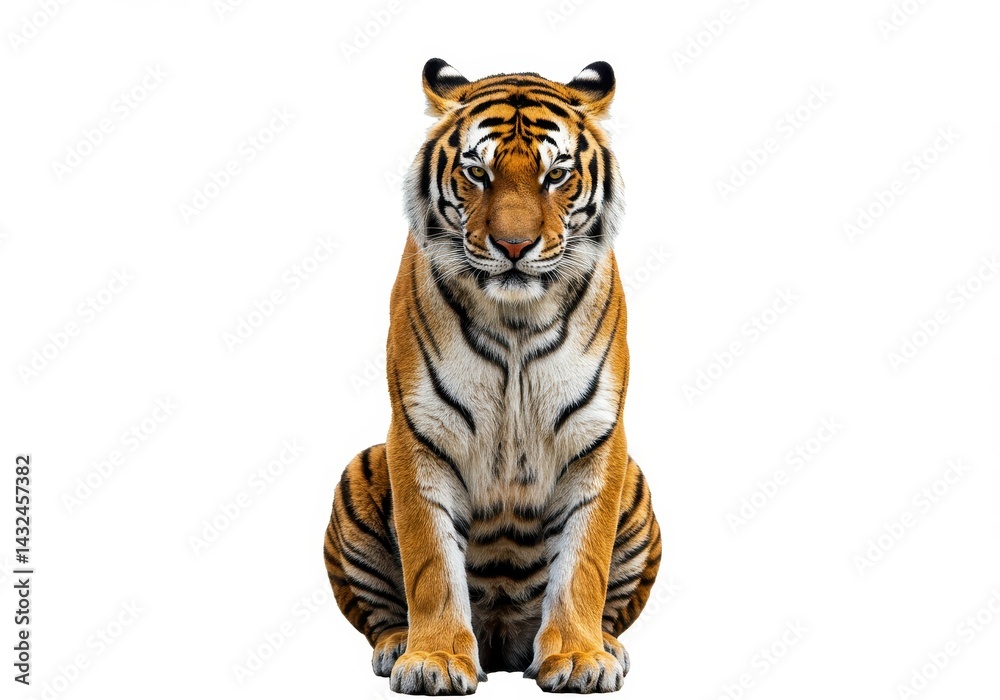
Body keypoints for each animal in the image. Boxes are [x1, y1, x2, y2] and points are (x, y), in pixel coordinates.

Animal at [323, 59, 661, 695]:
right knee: (381, 611)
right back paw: (397, 643)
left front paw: (578, 657)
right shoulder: (420, 432)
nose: (513, 245)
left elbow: (584, 561)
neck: (515, 321)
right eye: (477, 172)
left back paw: (606, 645)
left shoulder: (598, 437)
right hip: (361, 468)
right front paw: (433, 659)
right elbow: (430, 562)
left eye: (556, 174)